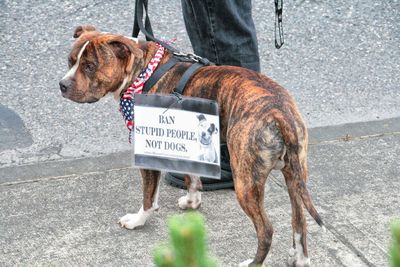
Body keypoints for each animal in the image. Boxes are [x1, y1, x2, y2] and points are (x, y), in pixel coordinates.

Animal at [59, 25, 324, 267]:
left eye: (89, 66)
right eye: (70, 61)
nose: (62, 84)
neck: (142, 71)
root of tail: (280, 112)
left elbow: (148, 196)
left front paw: (138, 220)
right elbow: (191, 177)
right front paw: (192, 202)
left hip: (246, 182)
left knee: (266, 230)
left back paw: (253, 262)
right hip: (294, 176)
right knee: (299, 220)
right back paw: (301, 258)